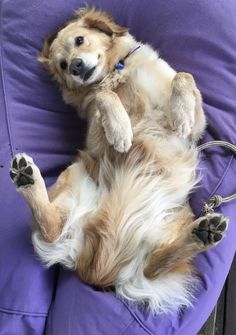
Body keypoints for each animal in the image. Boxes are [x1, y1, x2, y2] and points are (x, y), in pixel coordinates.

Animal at [10, 7, 228, 316]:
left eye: (79, 40)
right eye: (62, 65)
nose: (75, 66)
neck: (116, 73)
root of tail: (98, 272)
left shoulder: (196, 129)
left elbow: (184, 77)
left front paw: (181, 113)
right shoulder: (95, 142)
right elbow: (103, 95)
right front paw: (121, 129)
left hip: (174, 220)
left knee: (152, 265)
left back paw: (204, 233)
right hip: (74, 175)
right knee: (52, 230)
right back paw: (27, 178)